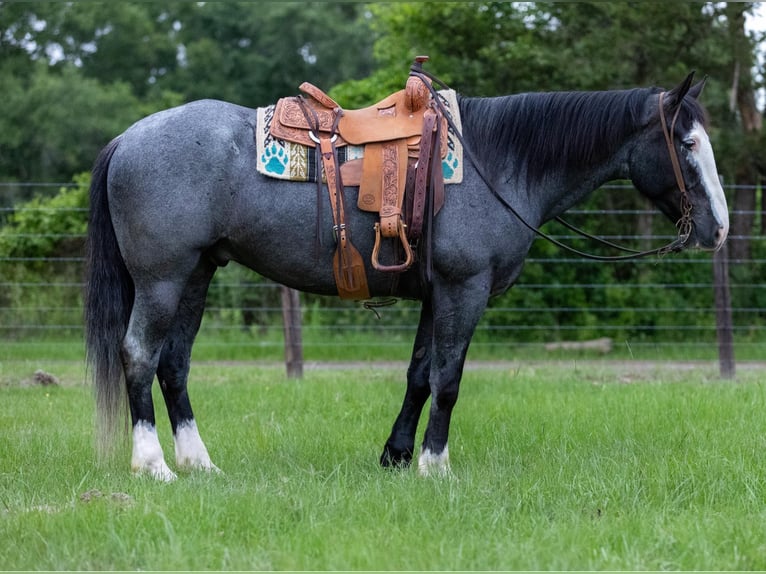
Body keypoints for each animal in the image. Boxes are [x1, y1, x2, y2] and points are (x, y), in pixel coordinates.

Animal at [85, 72, 732, 482]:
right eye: (687, 141)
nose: (719, 228)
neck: (497, 162)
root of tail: (126, 138)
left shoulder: (435, 294)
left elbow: (419, 376)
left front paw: (396, 456)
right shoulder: (464, 290)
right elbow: (448, 380)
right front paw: (433, 465)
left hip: (195, 275)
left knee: (173, 364)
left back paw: (199, 463)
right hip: (162, 279)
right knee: (139, 354)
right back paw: (153, 466)